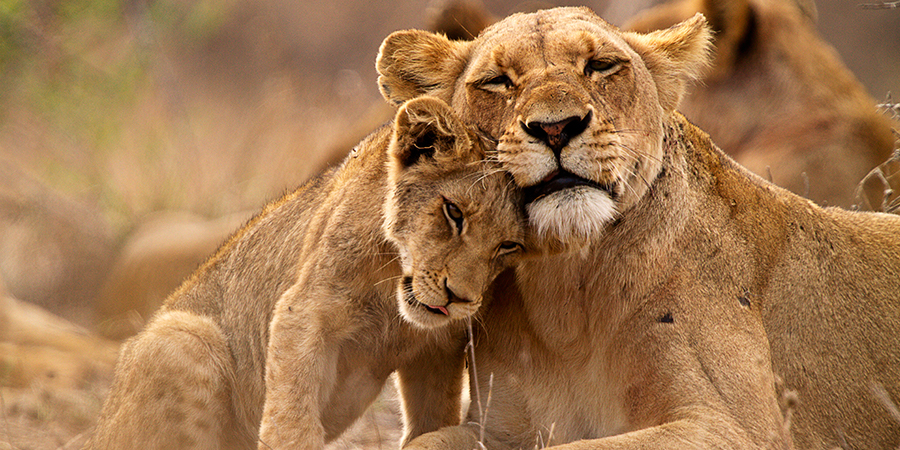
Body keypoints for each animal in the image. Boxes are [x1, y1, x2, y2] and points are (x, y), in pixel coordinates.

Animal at [376, 7, 900, 450]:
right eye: (497, 81)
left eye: (602, 66)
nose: (556, 128)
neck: (566, 295)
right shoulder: (500, 428)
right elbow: (425, 441)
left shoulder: (736, 427)